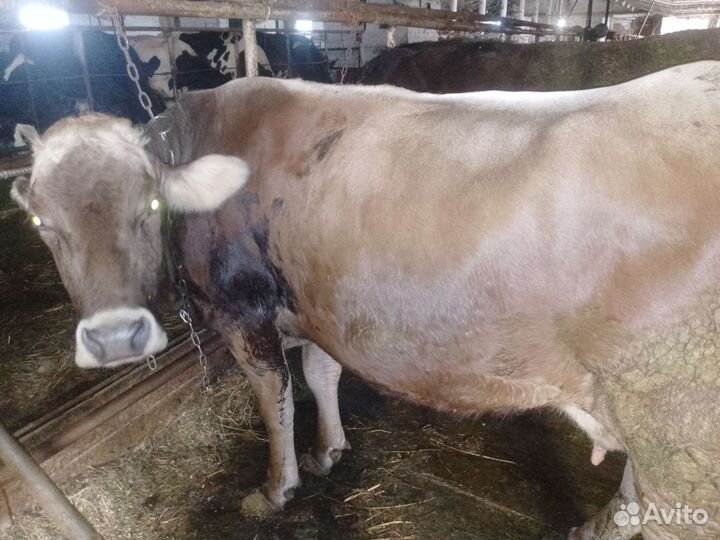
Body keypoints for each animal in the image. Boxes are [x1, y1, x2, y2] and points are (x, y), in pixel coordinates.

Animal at [10, 61, 720, 539]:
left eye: (149, 207)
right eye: (42, 222)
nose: (114, 337)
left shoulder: (244, 310)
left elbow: (274, 401)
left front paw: (275, 488)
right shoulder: (314, 302)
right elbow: (320, 374)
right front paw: (329, 450)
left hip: (680, 421)